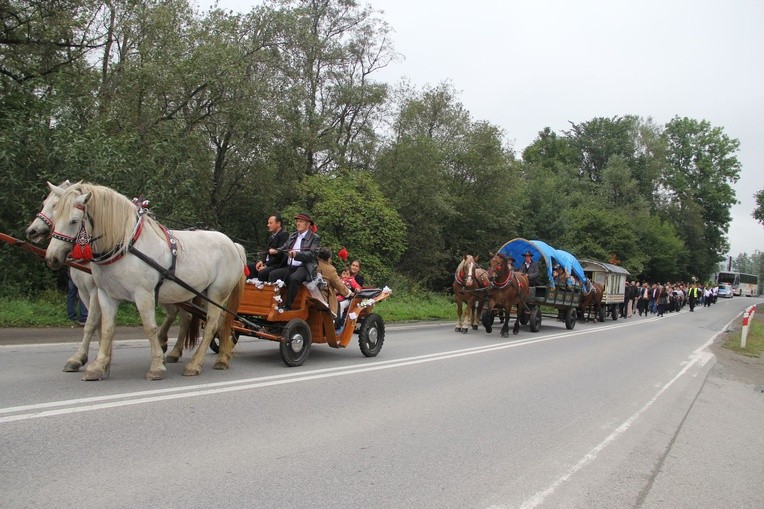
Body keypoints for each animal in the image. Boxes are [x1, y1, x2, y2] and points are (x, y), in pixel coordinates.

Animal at [25, 181, 195, 372]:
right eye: (45, 203)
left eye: (54, 206)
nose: (32, 231)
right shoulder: (86, 292)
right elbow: (99, 324)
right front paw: (100, 357)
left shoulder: (94, 290)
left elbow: (91, 323)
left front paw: (80, 358)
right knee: (176, 314)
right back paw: (165, 344)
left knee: (186, 317)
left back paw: (173, 349)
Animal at [43, 182, 245, 378]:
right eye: (55, 214)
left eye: (74, 221)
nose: (52, 258)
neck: (126, 247)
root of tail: (233, 244)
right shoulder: (105, 294)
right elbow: (107, 328)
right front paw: (98, 366)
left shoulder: (143, 294)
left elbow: (149, 327)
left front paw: (156, 367)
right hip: (198, 293)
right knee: (218, 322)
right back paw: (221, 358)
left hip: (218, 293)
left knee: (211, 325)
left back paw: (195, 364)